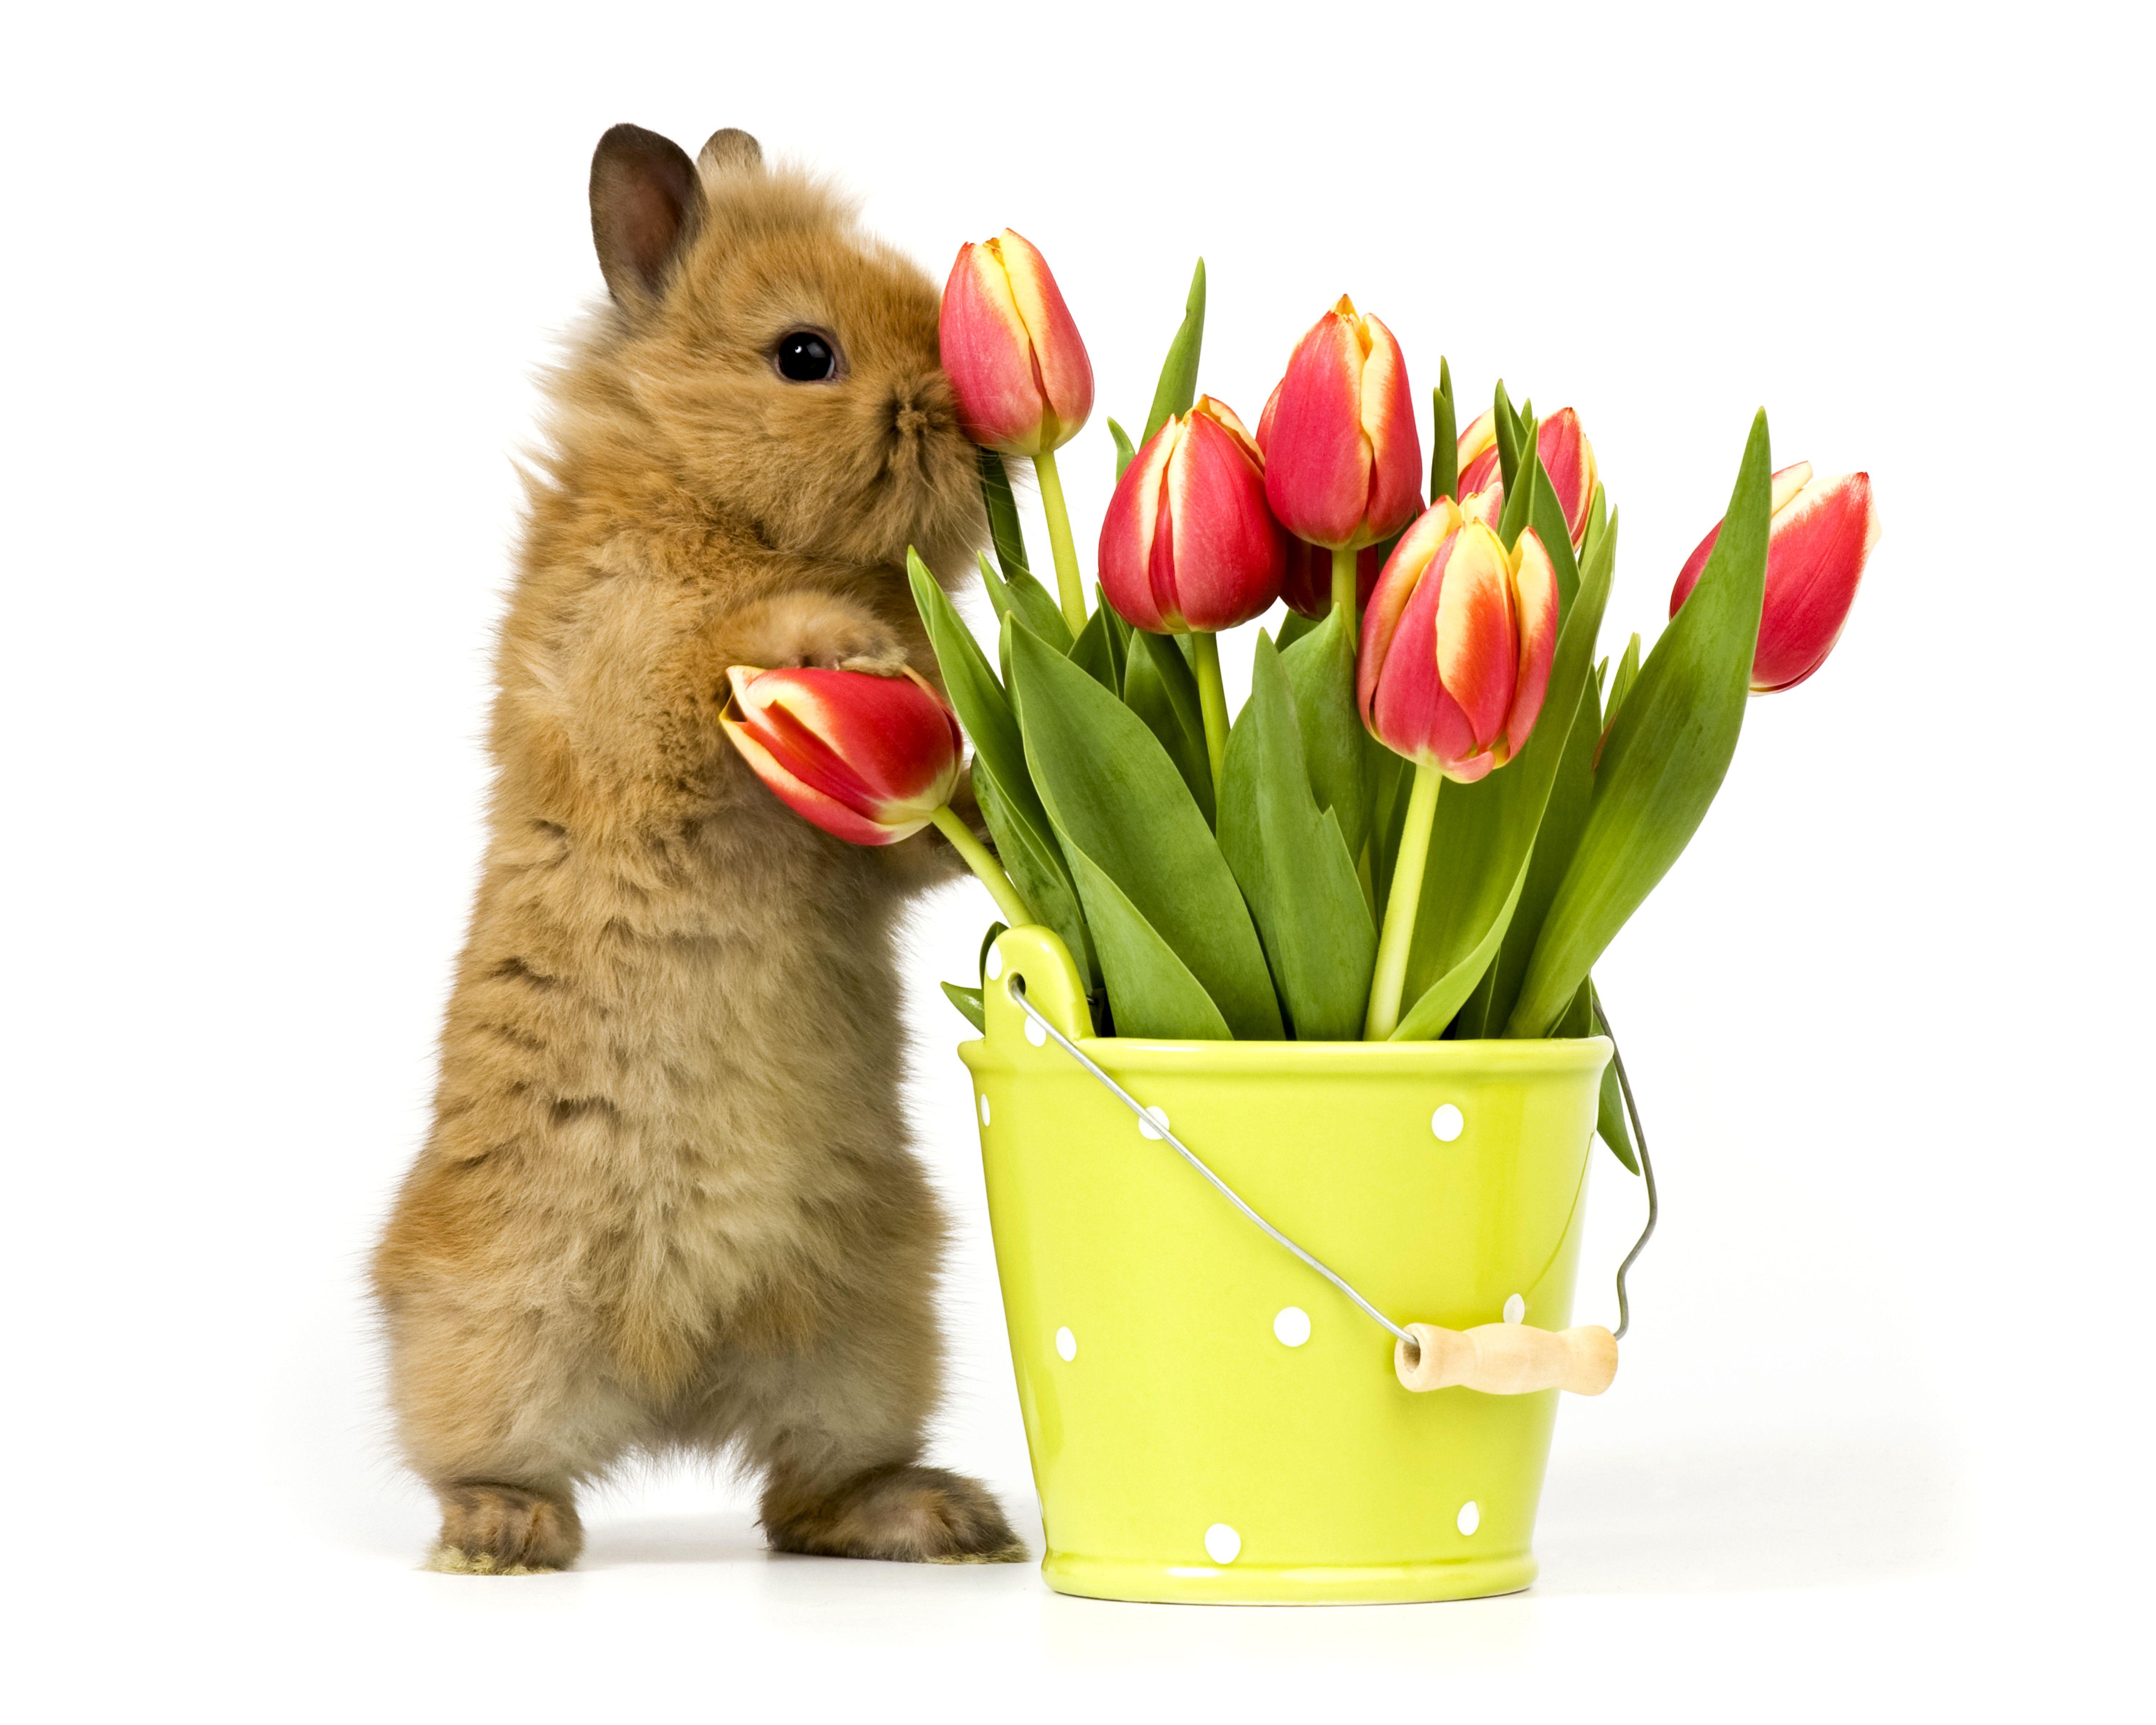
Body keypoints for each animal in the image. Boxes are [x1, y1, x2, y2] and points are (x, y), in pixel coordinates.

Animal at [371, 124, 1018, 1572]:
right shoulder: (622, 666)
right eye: (804, 354)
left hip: (868, 1338)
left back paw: (943, 1513)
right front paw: (842, 644)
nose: (981, 440)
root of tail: (677, 1378)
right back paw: (499, 1531)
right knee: (483, 1457)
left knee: (802, 1501)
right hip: (498, 1327)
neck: (708, 487)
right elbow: (707, 657)